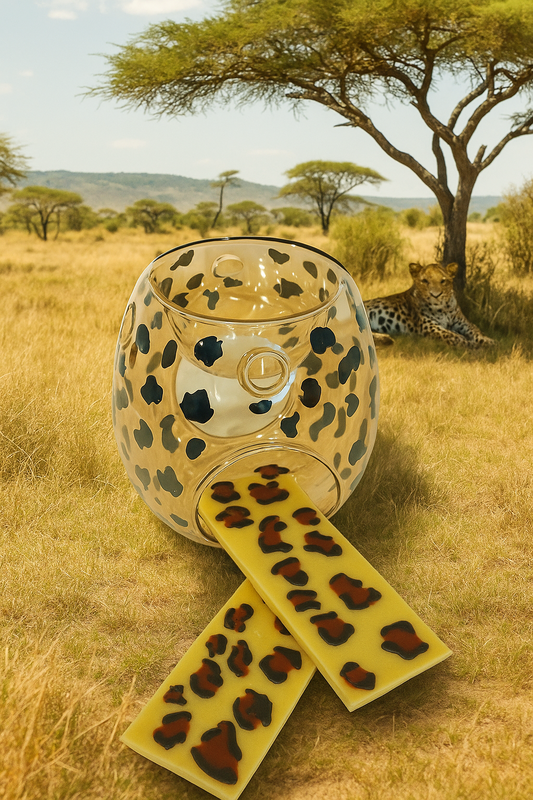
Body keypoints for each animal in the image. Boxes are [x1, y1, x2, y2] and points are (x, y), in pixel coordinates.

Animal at [364, 261, 495, 349]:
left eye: (443, 281)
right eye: (425, 281)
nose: (435, 295)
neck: (444, 309)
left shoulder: (464, 323)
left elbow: (476, 330)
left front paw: (489, 341)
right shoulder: (431, 327)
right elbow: (453, 337)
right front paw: (471, 343)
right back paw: (386, 339)